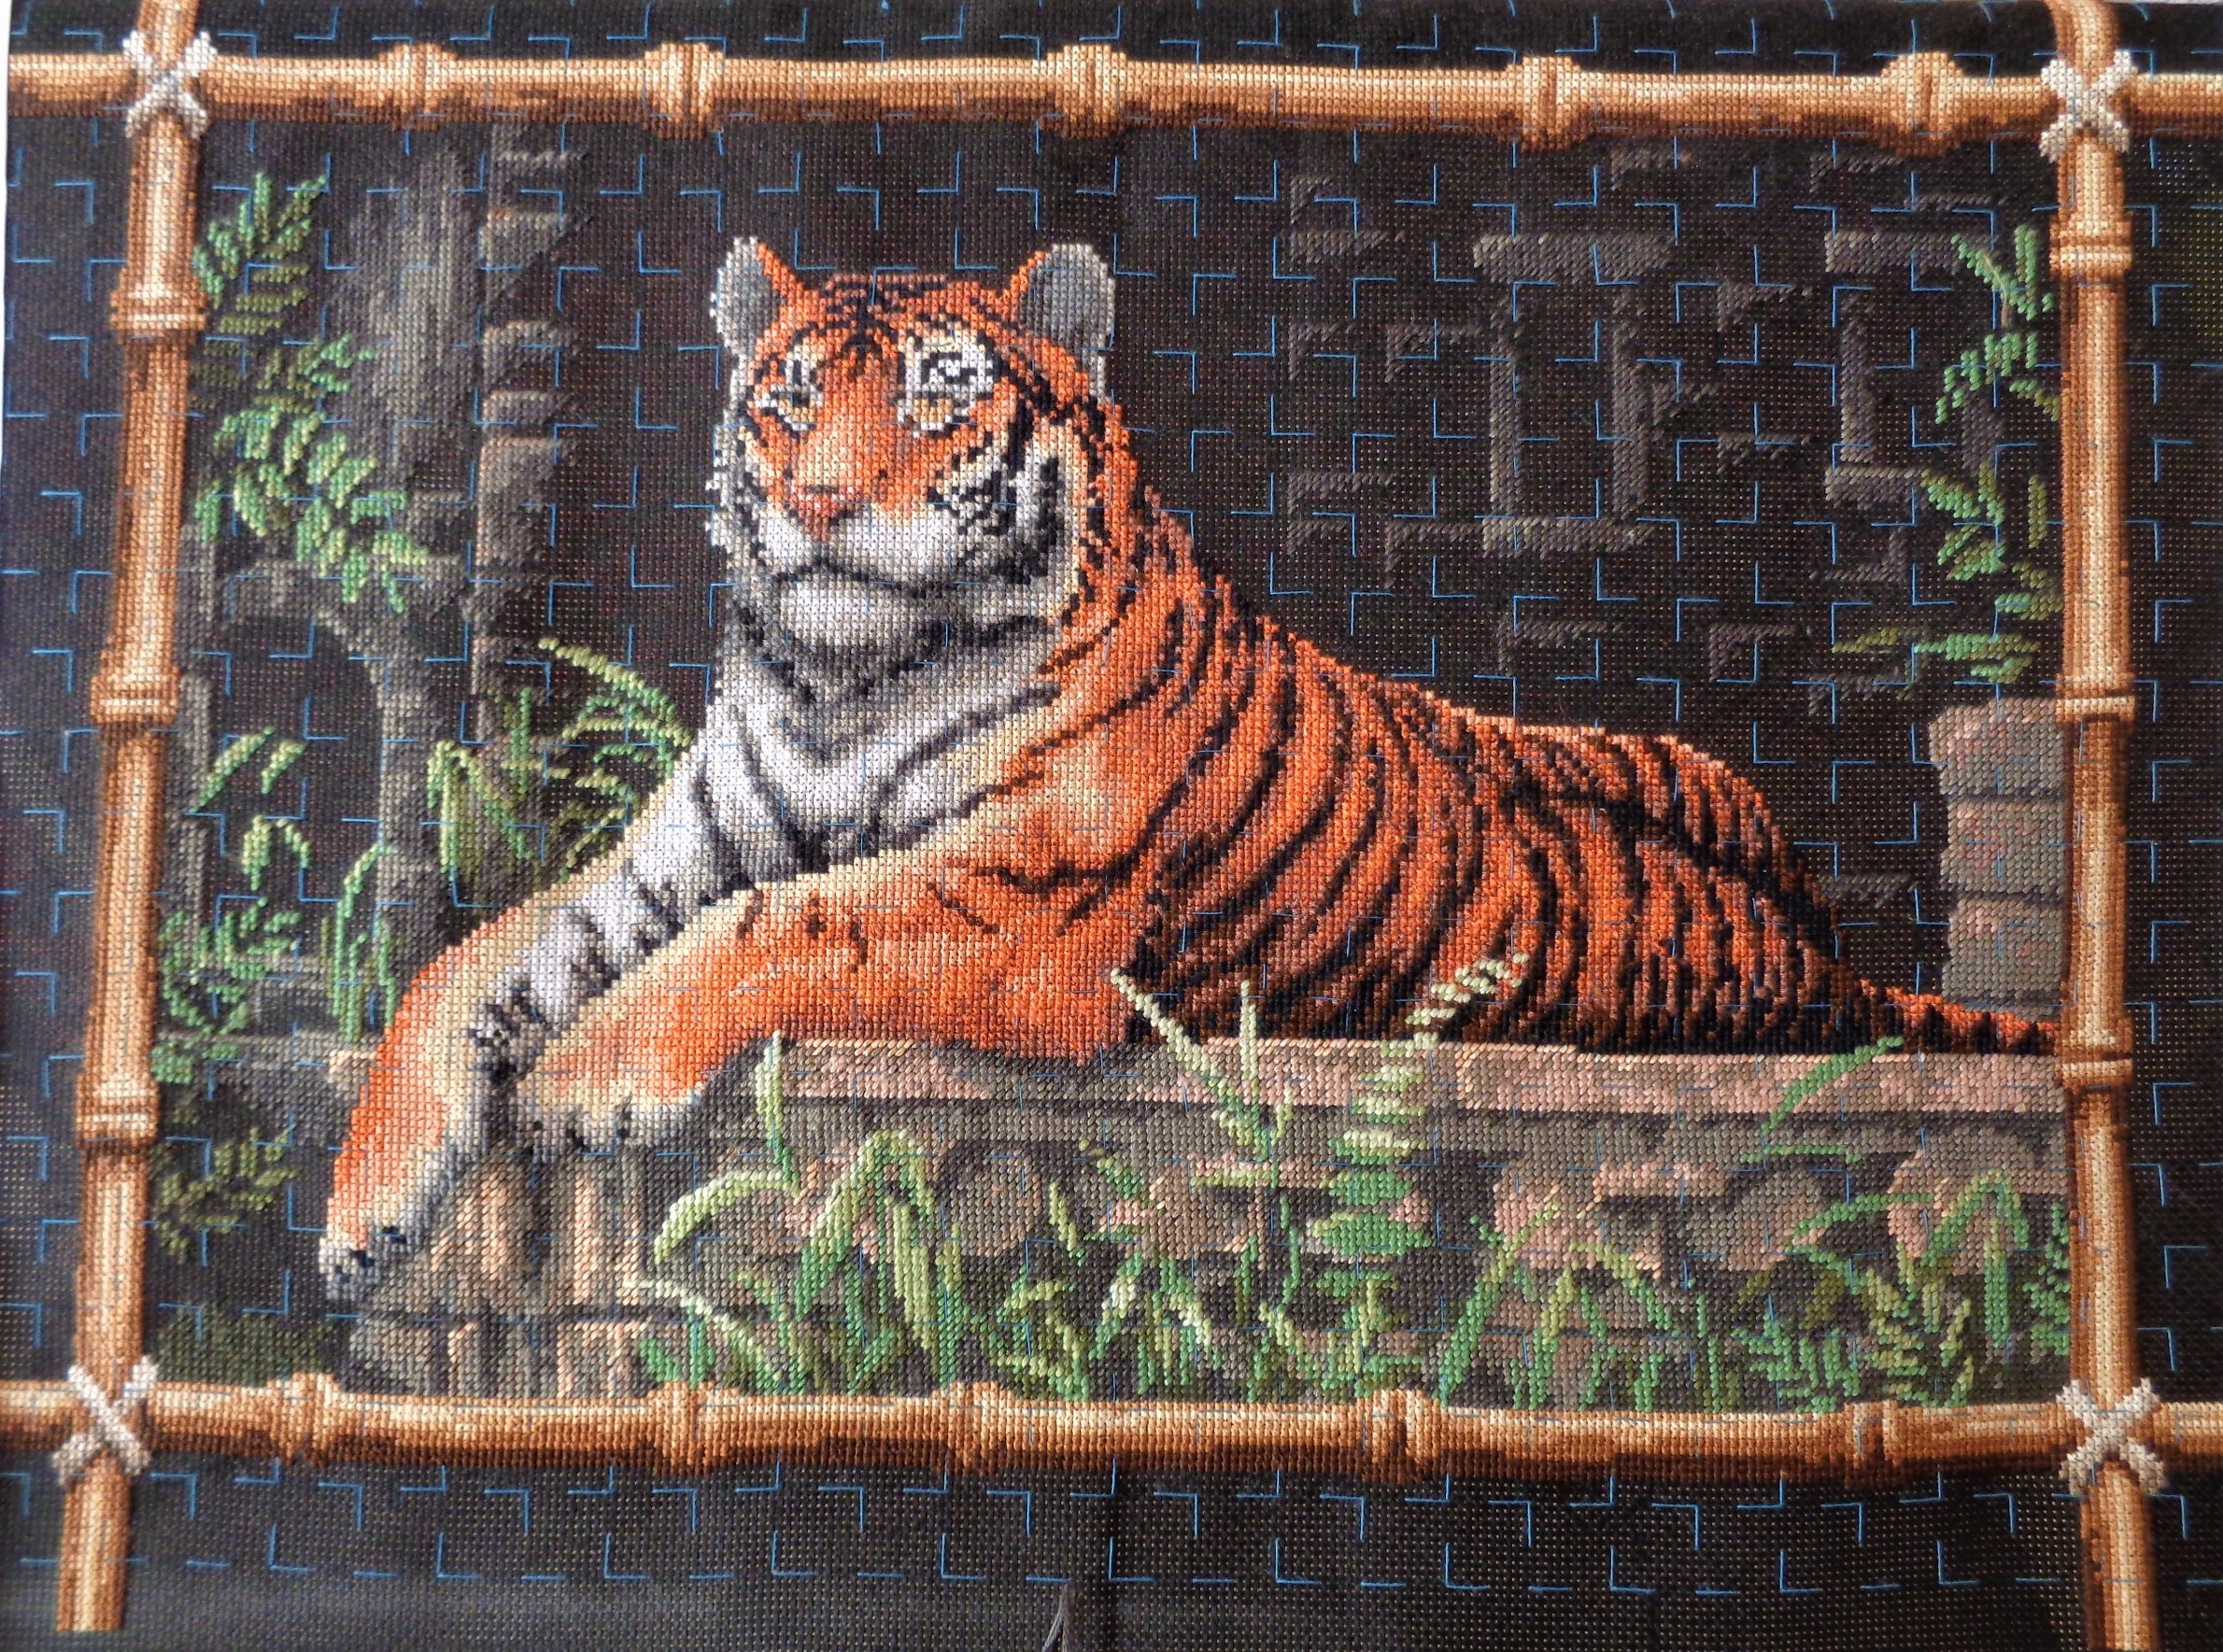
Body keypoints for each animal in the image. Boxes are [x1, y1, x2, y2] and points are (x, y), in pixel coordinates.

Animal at [320, 239, 2049, 1285]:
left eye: (937, 404)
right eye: (792, 401)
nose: (813, 499)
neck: (840, 679)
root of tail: (1820, 952)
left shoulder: (1022, 907)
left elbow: (783, 922)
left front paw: (584, 1078)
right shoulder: (666, 861)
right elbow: (462, 968)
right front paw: (362, 1215)